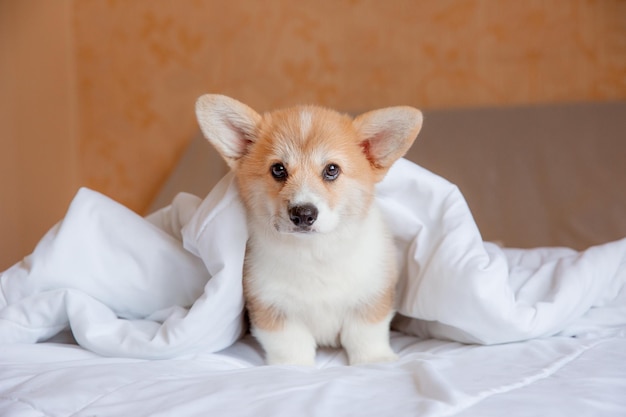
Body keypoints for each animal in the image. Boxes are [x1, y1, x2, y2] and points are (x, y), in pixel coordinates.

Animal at [194, 95, 420, 364]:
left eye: (332, 169)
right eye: (278, 169)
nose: (303, 214)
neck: (313, 253)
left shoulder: (371, 297)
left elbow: (365, 334)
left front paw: (375, 361)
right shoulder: (273, 308)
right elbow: (291, 347)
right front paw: (294, 367)